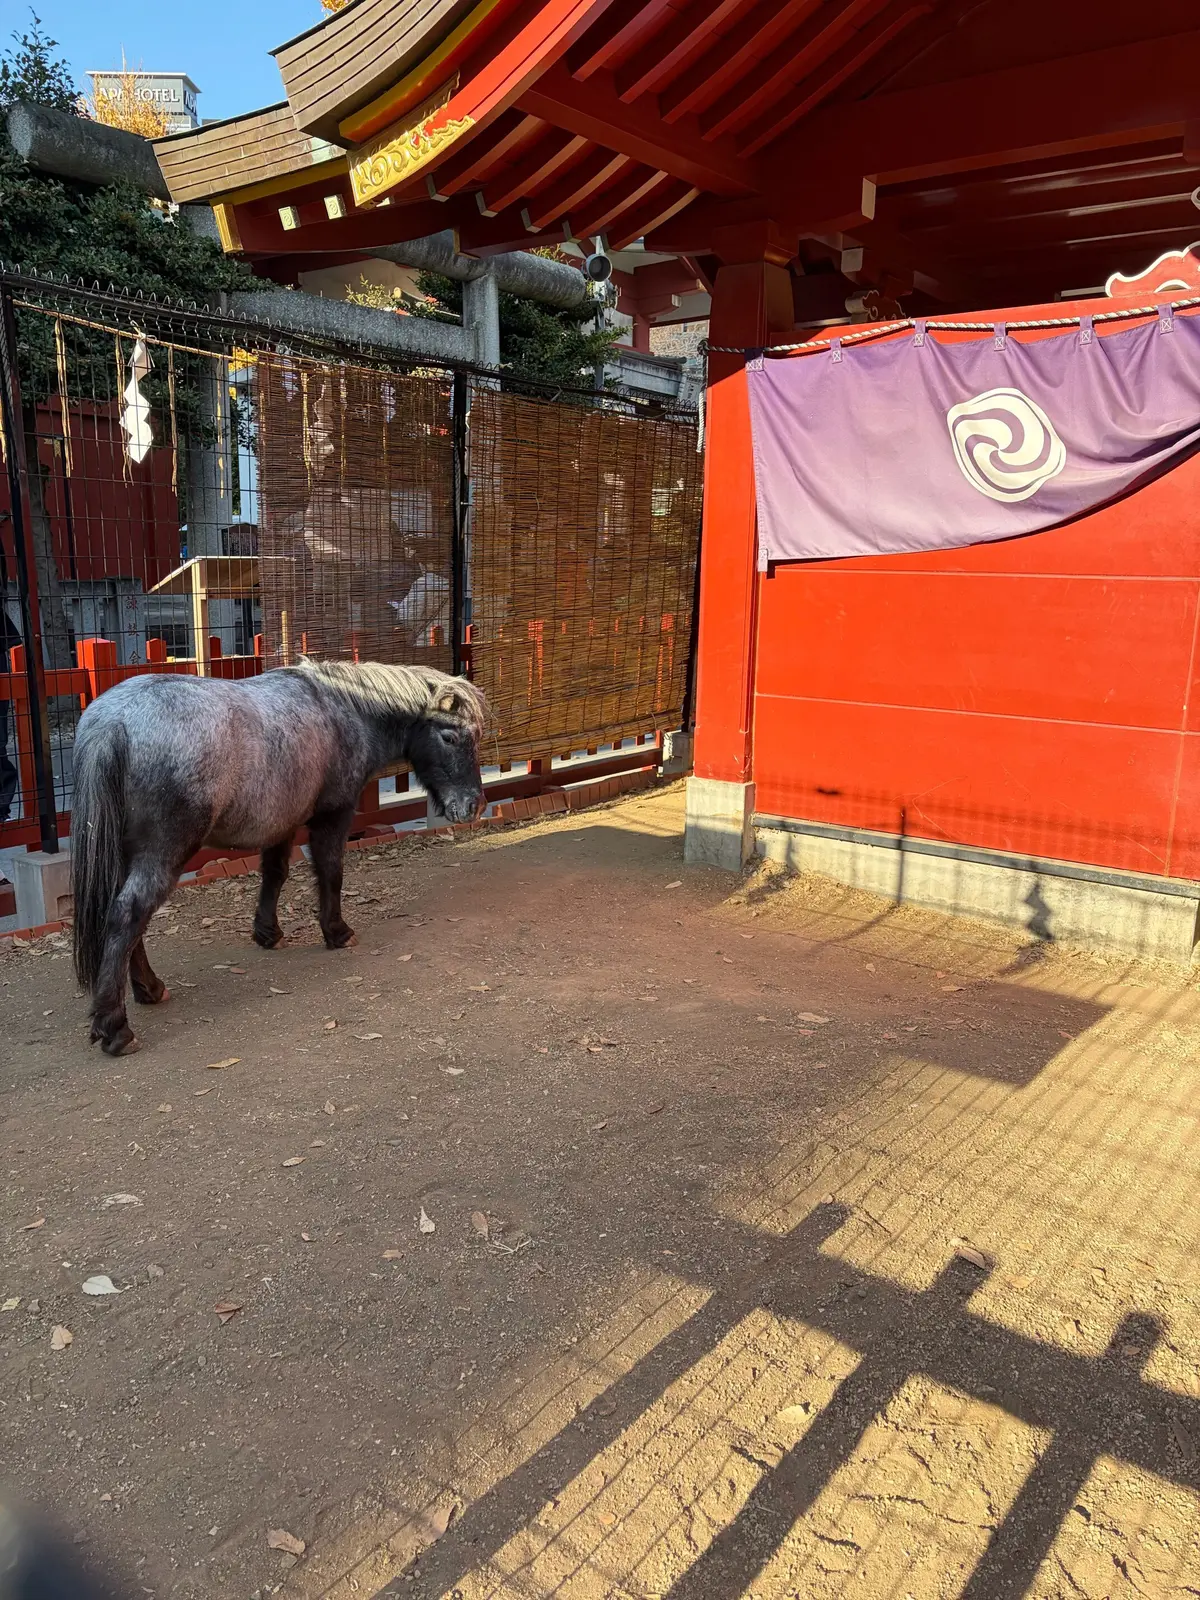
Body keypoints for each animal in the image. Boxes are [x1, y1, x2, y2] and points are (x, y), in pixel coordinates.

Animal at [71, 659, 487, 1056]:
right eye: (449, 736)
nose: (473, 805)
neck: (343, 707)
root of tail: (114, 721)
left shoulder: (281, 823)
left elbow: (275, 873)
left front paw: (268, 933)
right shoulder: (333, 815)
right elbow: (331, 870)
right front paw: (337, 931)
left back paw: (149, 989)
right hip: (163, 853)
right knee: (129, 913)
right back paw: (115, 1026)